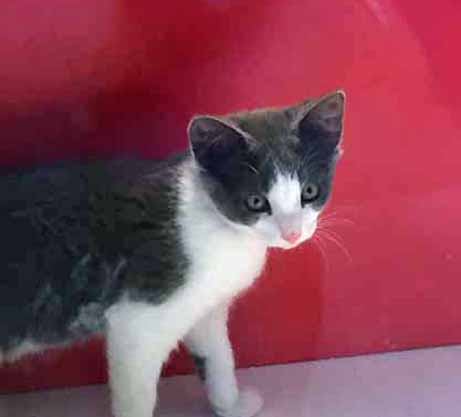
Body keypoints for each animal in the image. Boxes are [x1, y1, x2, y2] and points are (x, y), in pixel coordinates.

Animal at [0, 90, 345, 417]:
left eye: (310, 192)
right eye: (256, 201)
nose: (292, 234)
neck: (225, 231)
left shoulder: (205, 307)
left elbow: (218, 355)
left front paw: (230, 405)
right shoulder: (138, 319)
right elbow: (137, 398)